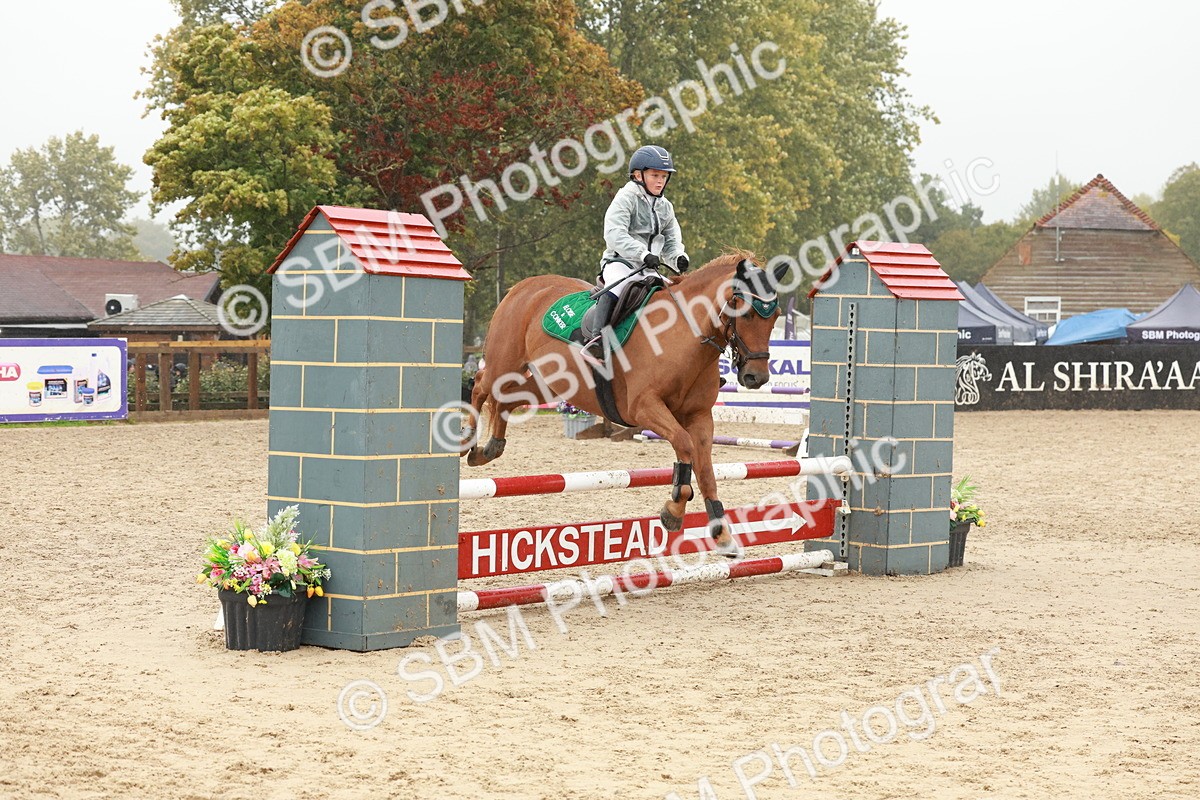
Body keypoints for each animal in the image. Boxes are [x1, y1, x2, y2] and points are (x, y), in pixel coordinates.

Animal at [461, 253, 790, 554]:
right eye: (745, 313)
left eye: (774, 315)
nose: (756, 377)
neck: (683, 336)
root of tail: (524, 286)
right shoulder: (644, 407)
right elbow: (684, 446)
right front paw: (673, 511)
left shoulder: (698, 416)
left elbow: (705, 469)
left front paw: (721, 533)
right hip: (505, 363)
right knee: (480, 385)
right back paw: (468, 440)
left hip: (549, 383)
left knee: (507, 398)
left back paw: (490, 448)